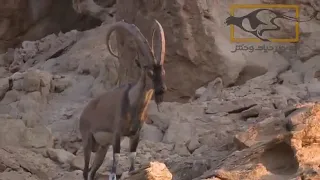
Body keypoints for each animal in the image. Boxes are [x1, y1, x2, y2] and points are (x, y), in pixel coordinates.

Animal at [79, 19, 168, 180]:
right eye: (149, 70)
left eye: (162, 70)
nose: (161, 89)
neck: (133, 104)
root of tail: (84, 113)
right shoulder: (117, 134)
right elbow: (116, 159)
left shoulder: (135, 134)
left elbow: (132, 156)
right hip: (87, 140)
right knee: (85, 171)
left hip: (102, 148)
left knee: (92, 171)